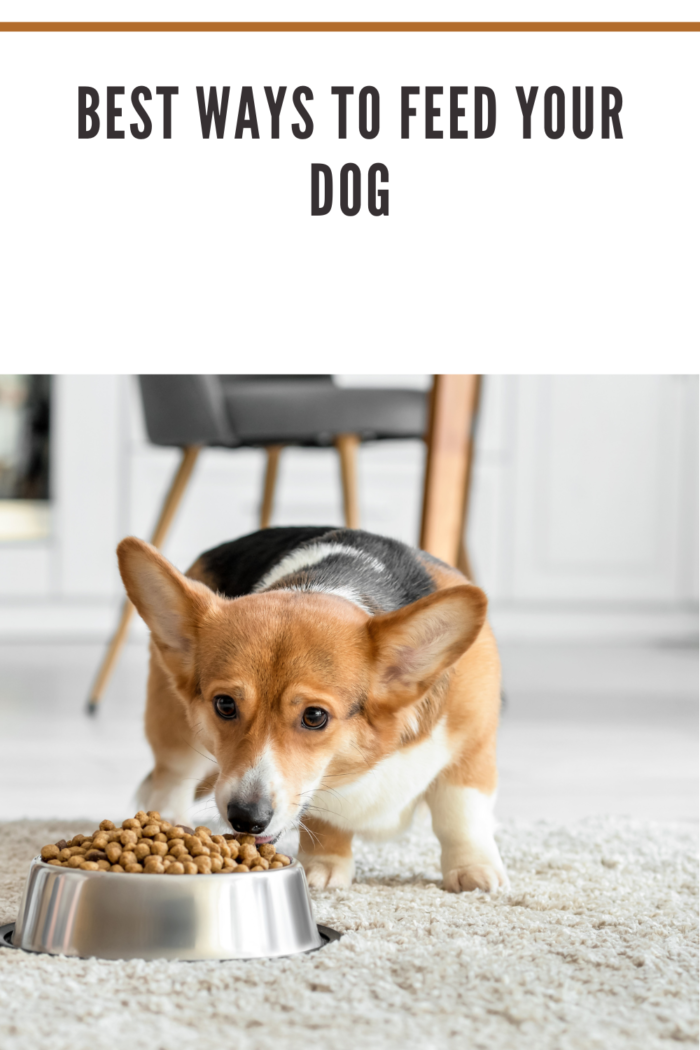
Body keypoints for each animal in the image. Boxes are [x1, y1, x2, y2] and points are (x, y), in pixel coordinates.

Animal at [116, 525, 510, 894]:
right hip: (174, 727)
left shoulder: (473, 749)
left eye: (315, 716)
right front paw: (325, 866)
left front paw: (473, 870)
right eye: (225, 704)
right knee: (172, 777)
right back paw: (168, 821)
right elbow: (326, 819)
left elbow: (460, 815)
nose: (246, 819)